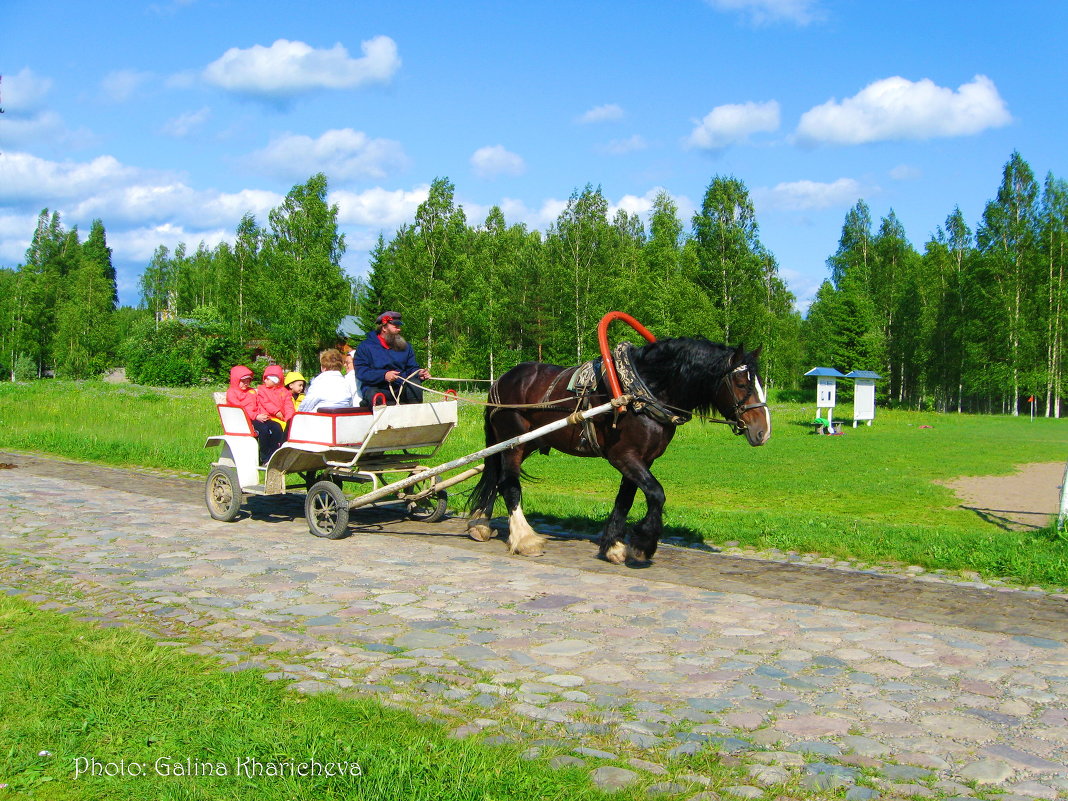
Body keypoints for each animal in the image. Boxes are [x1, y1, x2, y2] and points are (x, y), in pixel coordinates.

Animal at [465, 339, 768, 563]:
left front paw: (614, 545)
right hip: (513, 441)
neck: (641, 392)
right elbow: (656, 494)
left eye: (760, 382)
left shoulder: (642, 458)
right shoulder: (624, 456)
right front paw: (644, 543)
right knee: (509, 484)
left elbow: (626, 498)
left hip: (525, 443)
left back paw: (480, 524)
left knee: (496, 477)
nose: (763, 432)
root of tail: (500, 381)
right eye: (742, 383)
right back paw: (525, 539)